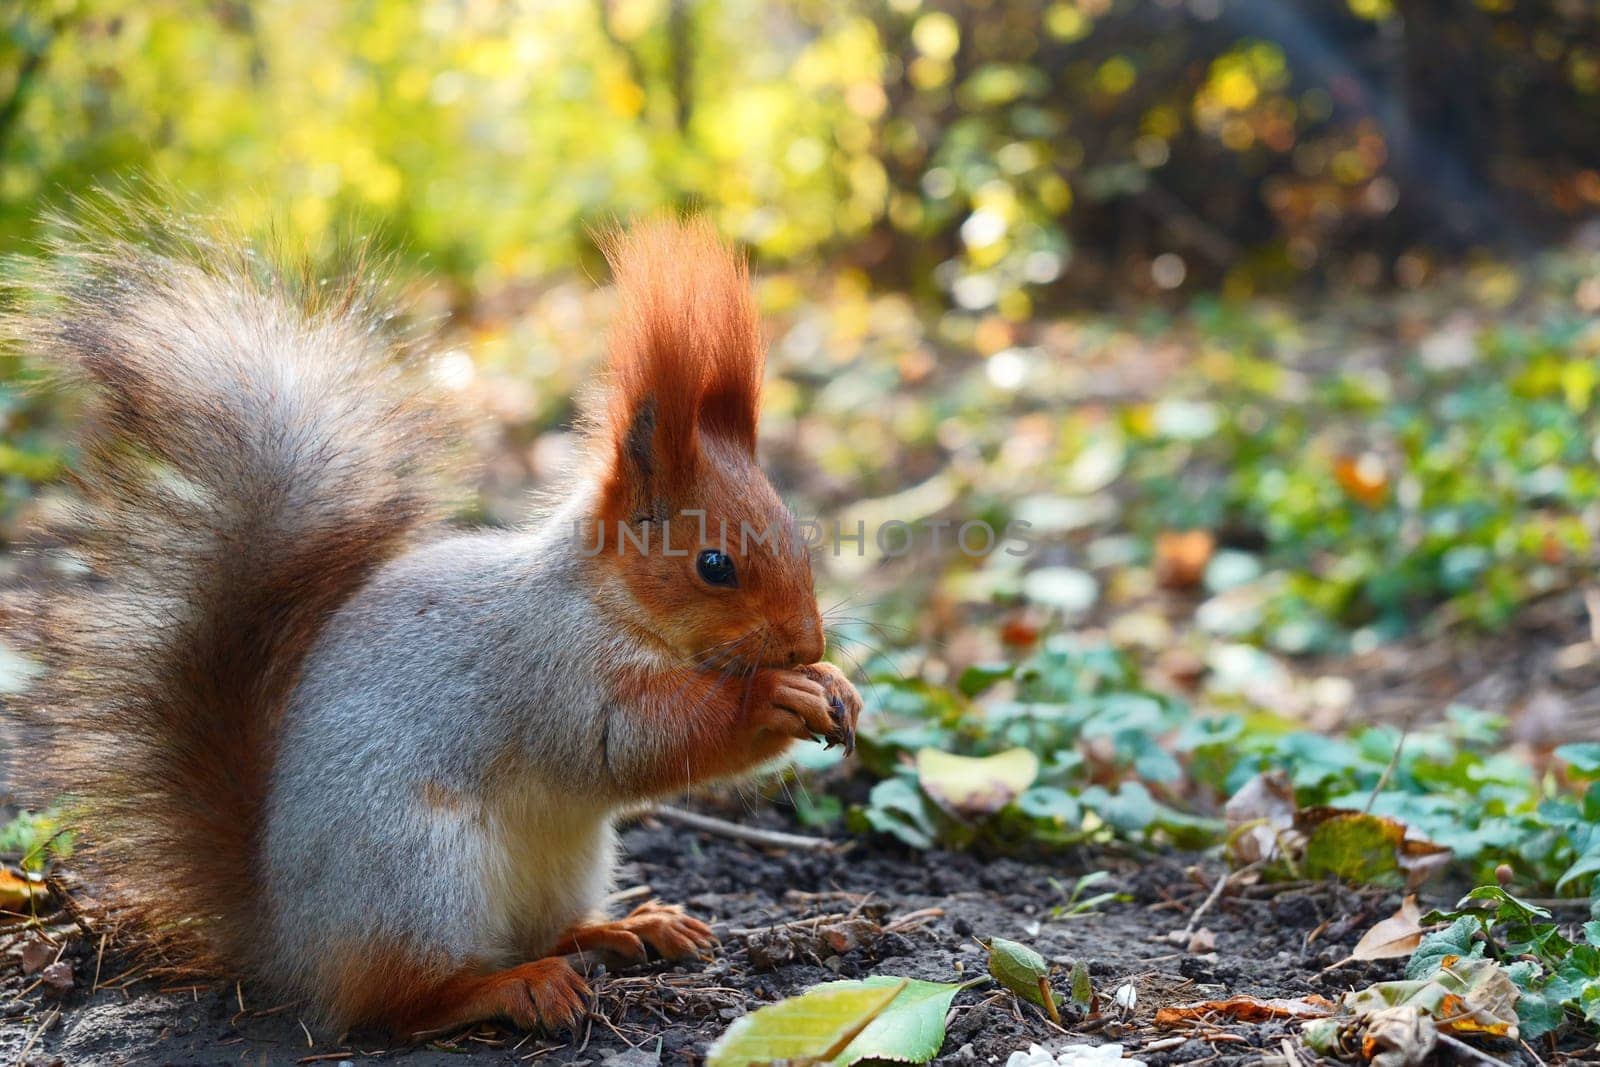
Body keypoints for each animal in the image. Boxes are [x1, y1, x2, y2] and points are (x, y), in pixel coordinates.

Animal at [0, 206, 864, 1036]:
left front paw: (835, 686)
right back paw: (517, 987)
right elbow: (634, 743)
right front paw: (775, 694)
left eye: (796, 533)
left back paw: (624, 929)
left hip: (565, 861)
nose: (808, 641)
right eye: (714, 565)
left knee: (532, 932)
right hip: (417, 871)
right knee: (400, 1001)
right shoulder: (550, 668)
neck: (606, 600)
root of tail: (289, 940)